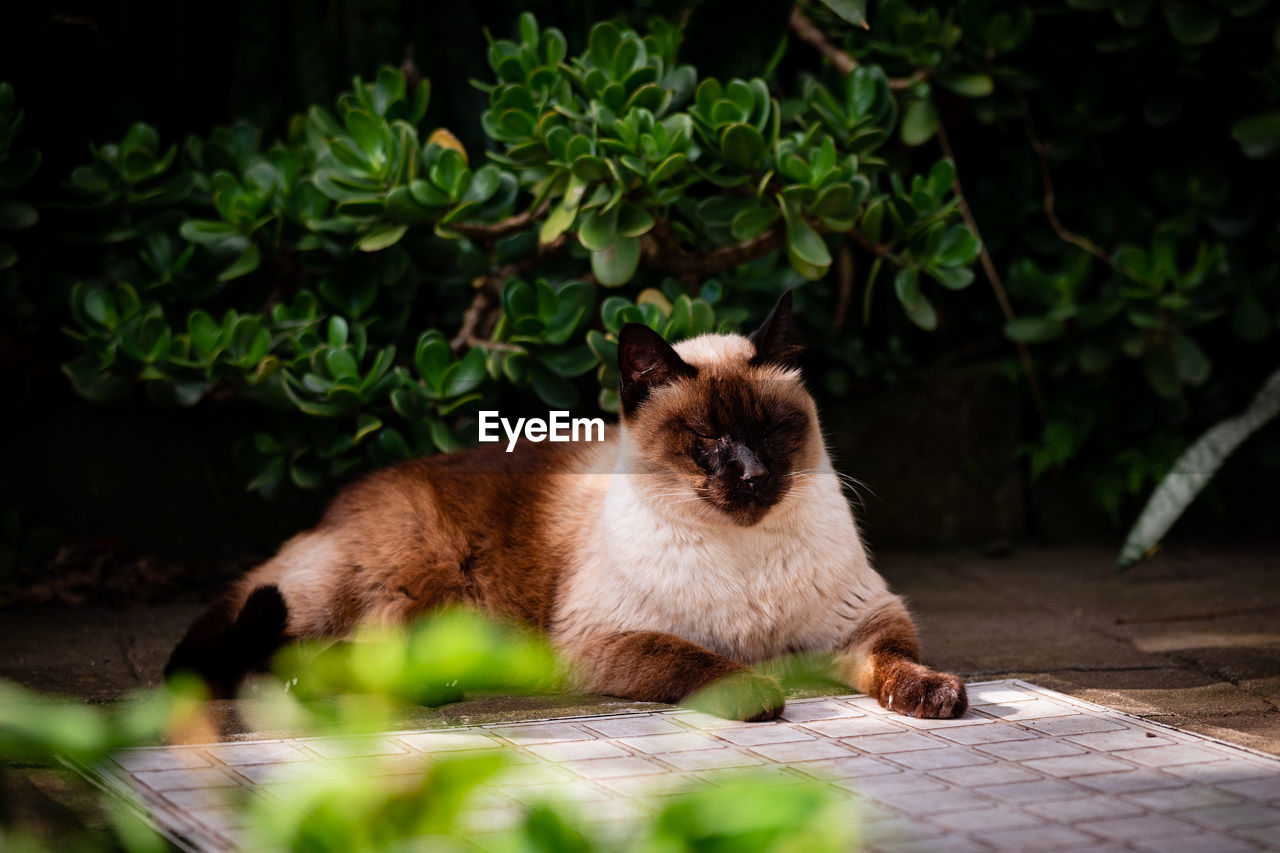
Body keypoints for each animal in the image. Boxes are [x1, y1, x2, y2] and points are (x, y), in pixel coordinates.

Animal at [170, 290, 967, 717]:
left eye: (772, 431)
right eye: (705, 439)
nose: (747, 474)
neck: (742, 554)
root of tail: (334, 508)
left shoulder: (861, 625)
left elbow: (896, 661)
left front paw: (935, 696)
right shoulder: (606, 640)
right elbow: (701, 659)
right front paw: (757, 693)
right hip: (402, 587)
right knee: (271, 651)